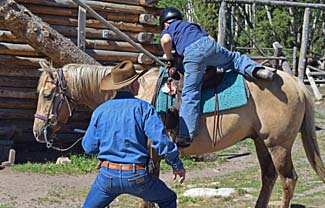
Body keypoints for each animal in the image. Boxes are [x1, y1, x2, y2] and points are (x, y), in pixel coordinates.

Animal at [33, 62, 324, 208]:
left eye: (47, 95)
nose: (38, 131)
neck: (134, 94)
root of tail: (296, 83)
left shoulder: (148, 156)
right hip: (261, 143)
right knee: (269, 178)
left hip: (278, 145)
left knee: (288, 180)